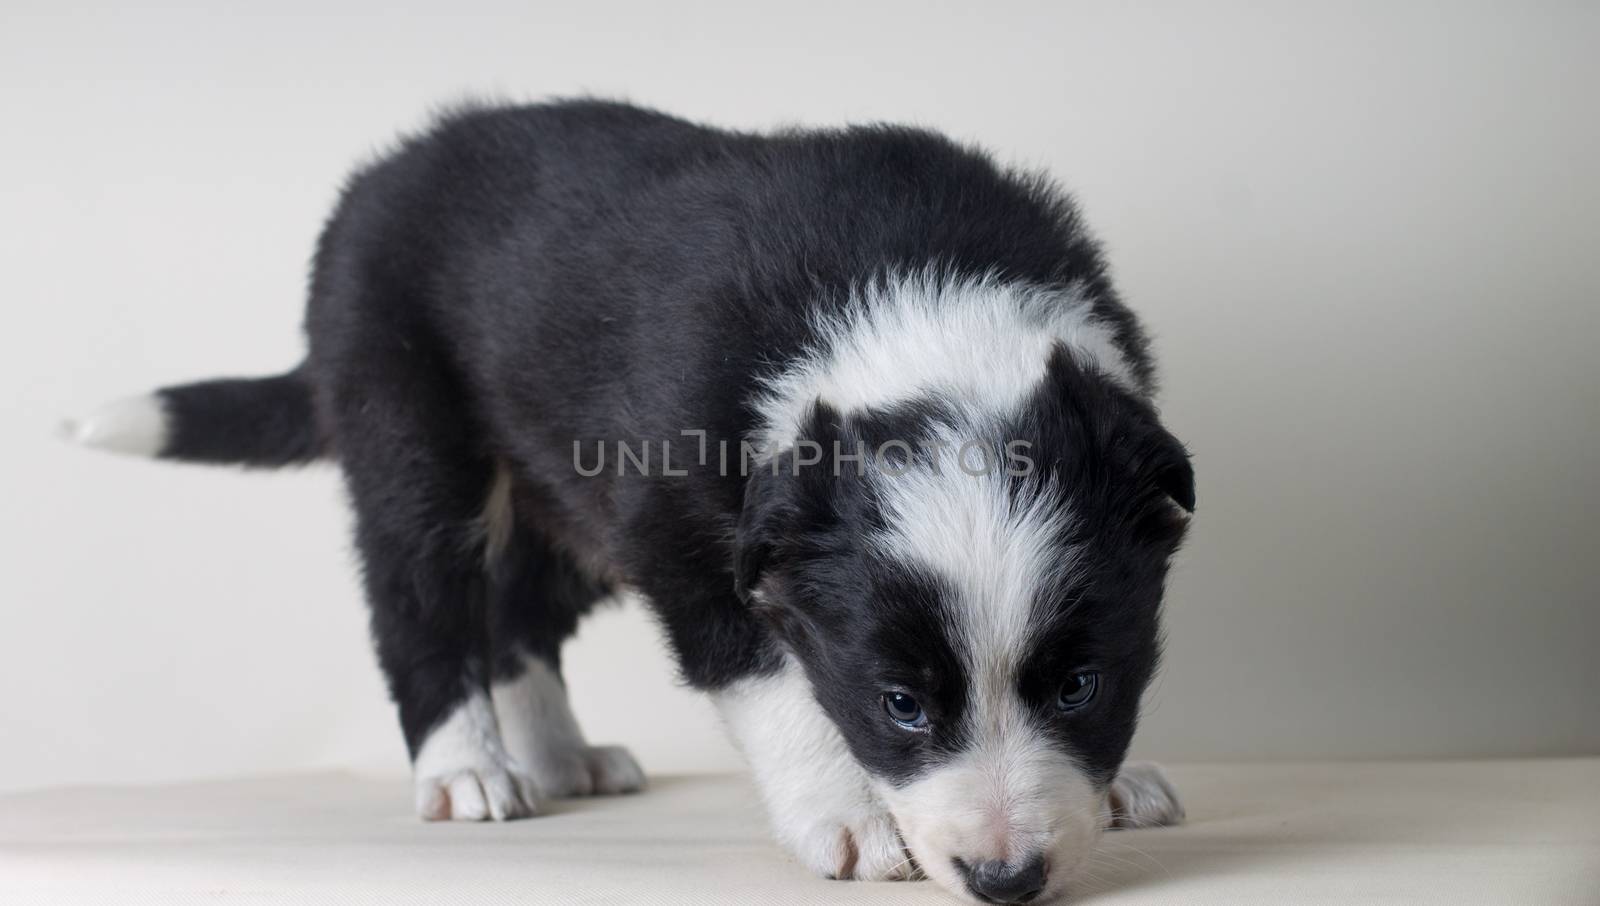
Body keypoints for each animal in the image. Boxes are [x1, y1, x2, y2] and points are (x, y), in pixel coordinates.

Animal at [68, 101, 1190, 906]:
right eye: (900, 705)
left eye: (1081, 686)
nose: (1008, 880)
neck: (920, 310)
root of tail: (385, 171)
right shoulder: (684, 538)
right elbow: (768, 683)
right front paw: (849, 822)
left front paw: (1118, 784)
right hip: (407, 422)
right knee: (422, 600)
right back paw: (466, 772)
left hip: (556, 487)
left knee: (515, 606)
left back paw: (561, 758)